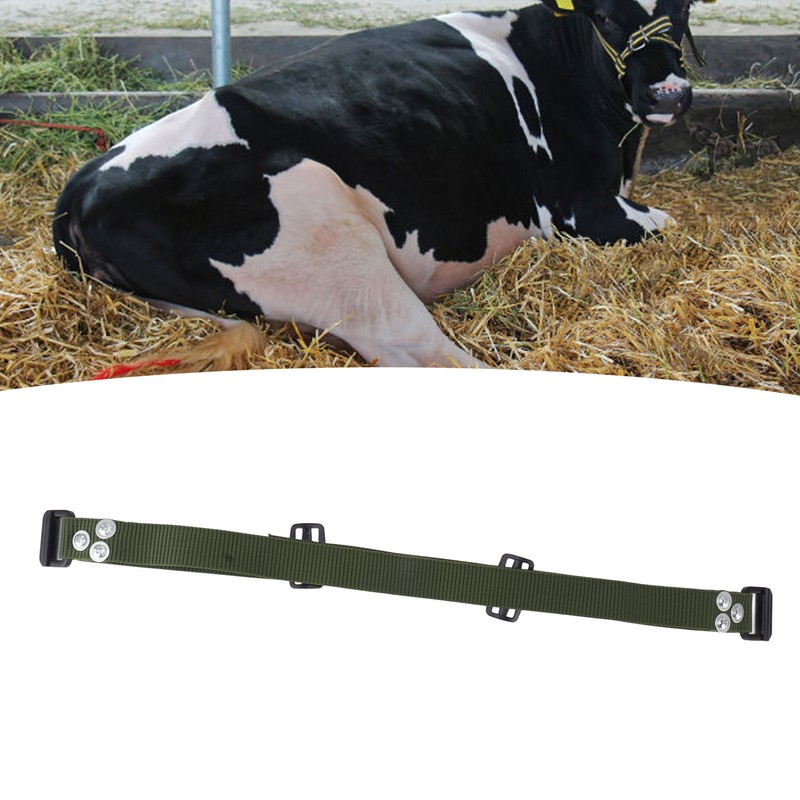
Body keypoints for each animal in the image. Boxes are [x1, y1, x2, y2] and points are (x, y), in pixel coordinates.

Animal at [53, 1, 711, 368]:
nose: (669, 94)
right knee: (426, 353)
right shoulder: (581, 208)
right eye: (603, 15)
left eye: (681, 11)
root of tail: (79, 187)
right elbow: (676, 223)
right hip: (334, 253)